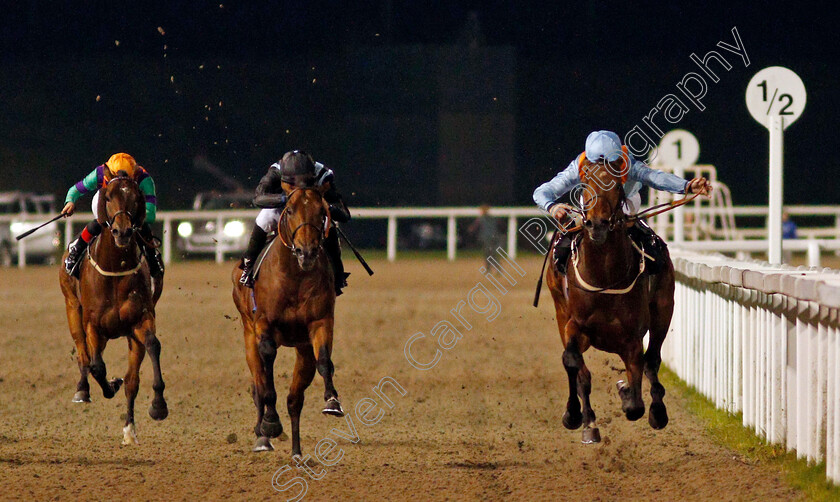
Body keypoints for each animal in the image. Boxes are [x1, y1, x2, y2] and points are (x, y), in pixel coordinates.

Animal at [59, 173, 169, 444]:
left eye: (137, 197)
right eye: (108, 197)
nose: (123, 231)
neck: (115, 269)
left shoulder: (141, 320)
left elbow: (152, 346)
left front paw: (158, 406)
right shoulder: (93, 325)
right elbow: (97, 366)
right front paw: (110, 384)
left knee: (132, 379)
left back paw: (129, 430)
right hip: (72, 309)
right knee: (83, 354)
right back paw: (82, 390)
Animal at [231, 183, 342, 454]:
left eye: (322, 212)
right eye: (289, 210)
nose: (307, 252)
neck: (294, 278)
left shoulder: (320, 322)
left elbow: (324, 360)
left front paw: (332, 401)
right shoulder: (263, 325)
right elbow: (267, 376)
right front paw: (270, 423)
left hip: (303, 352)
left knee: (294, 399)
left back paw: (296, 451)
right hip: (248, 335)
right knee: (258, 385)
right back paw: (262, 435)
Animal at [544, 157, 676, 444]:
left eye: (615, 185)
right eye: (584, 184)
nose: (597, 224)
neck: (604, 276)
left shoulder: (632, 338)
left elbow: (636, 399)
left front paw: (628, 394)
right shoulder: (574, 325)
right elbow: (572, 362)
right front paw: (575, 416)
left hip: (664, 309)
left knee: (653, 359)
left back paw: (657, 411)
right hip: (560, 311)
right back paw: (588, 422)